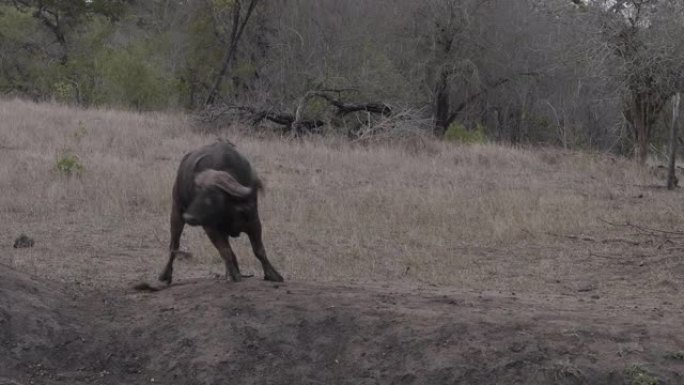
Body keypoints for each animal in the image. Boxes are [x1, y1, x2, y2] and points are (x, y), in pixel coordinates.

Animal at [160, 140, 284, 282]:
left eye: (213, 195)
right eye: (197, 192)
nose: (189, 217)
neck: (230, 211)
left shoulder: (254, 222)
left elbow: (259, 251)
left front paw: (273, 274)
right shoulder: (210, 228)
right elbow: (225, 251)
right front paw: (235, 275)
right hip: (176, 211)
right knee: (174, 246)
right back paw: (165, 275)